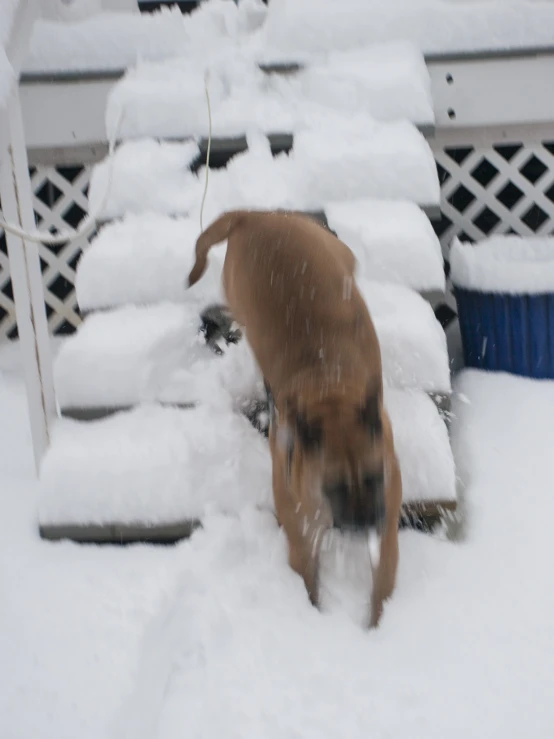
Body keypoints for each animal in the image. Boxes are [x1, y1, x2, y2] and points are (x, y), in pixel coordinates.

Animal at [188, 210, 398, 632]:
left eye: (374, 476)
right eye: (334, 486)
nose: (365, 525)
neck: (330, 396)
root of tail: (253, 215)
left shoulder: (388, 527)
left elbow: (381, 587)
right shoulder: (300, 533)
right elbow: (306, 580)